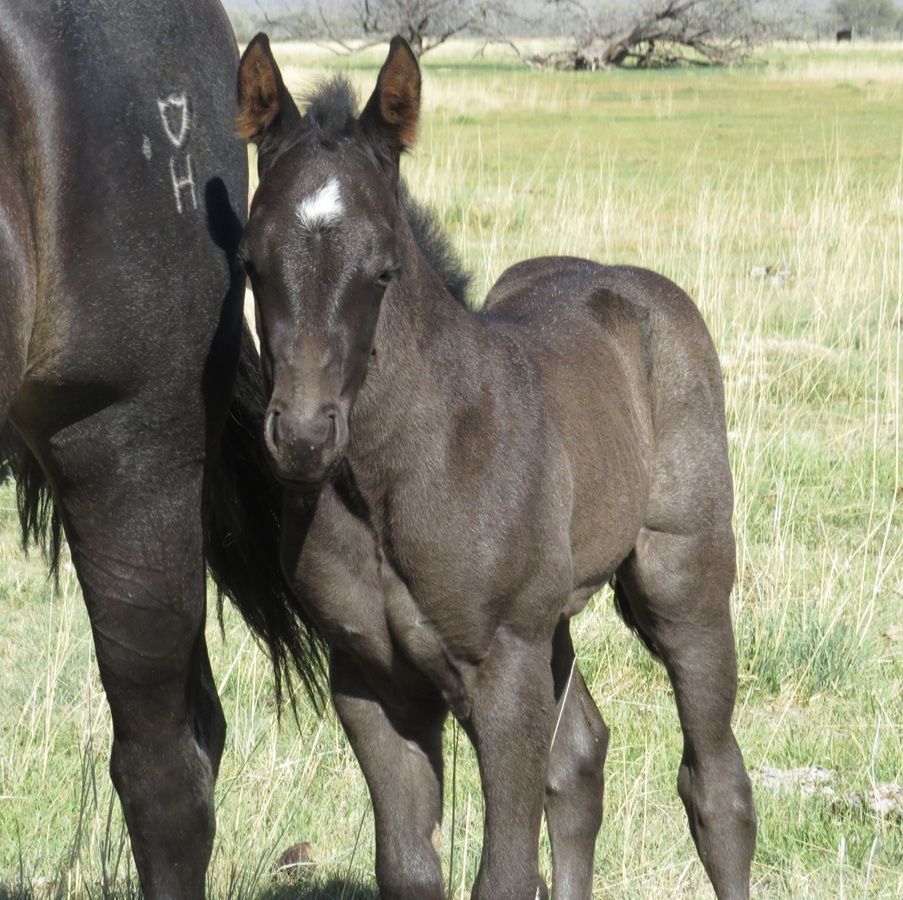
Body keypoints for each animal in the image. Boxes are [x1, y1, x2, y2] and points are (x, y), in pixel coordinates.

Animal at [236, 34, 757, 900]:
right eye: (250, 264)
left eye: (384, 268)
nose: (304, 436)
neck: (401, 472)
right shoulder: (370, 681)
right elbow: (411, 869)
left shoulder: (502, 670)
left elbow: (506, 872)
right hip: (553, 617)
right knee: (580, 758)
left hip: (679, 578)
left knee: (715, 785)